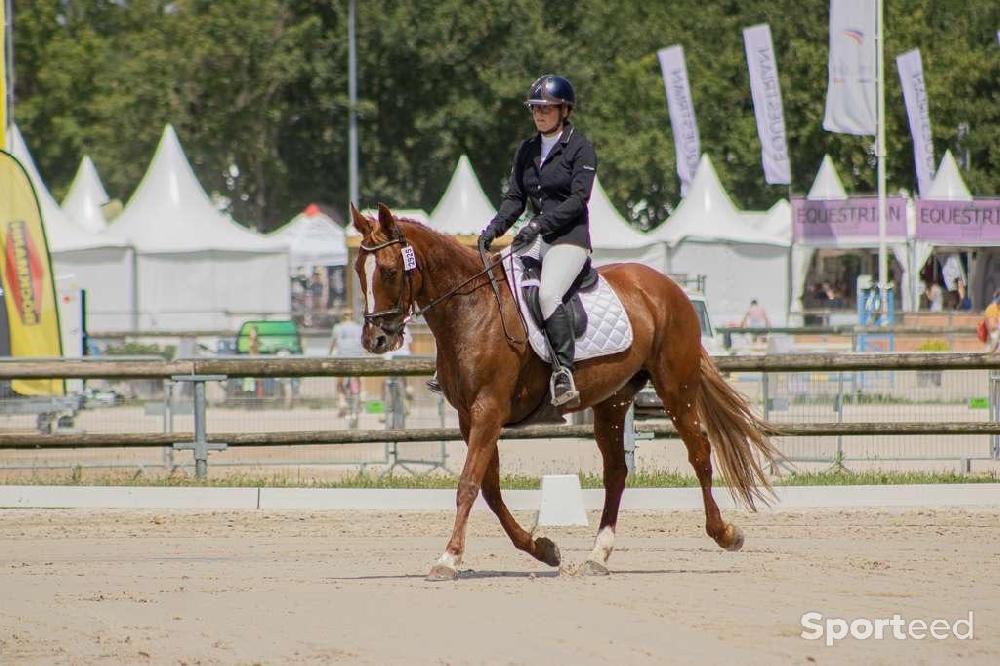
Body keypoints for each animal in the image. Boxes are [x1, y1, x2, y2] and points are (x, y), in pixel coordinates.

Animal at [352, 204, 780, 580]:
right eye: (359, 270)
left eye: (388, 271)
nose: (375, 339)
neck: (471, 310)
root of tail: (666, 286)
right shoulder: (468, 416)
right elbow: (490, 489)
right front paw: (544, 549)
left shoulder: (489, 409)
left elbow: (469, 484)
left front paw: (448, 559)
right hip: (613, 400)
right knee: (616, 472)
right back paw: (597, 555)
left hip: (677, 388)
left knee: (699, 453)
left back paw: (725, 534)